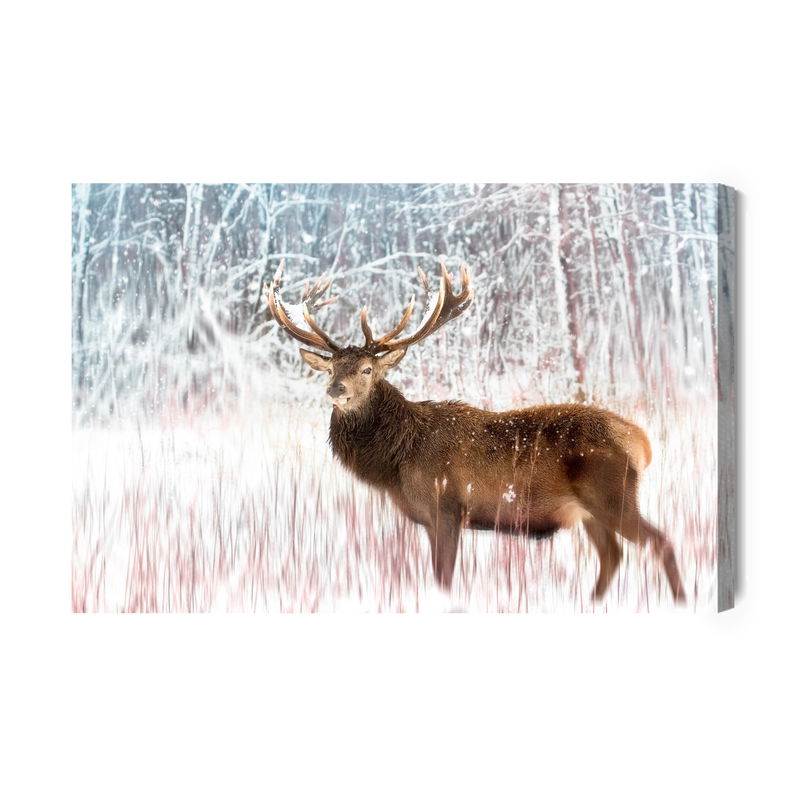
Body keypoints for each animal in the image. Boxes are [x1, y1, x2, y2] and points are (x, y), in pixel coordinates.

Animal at [266, 260, 686, 604]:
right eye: (332, 368)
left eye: (368, 369)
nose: (336, 390)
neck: (396, 463)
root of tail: (641, 442)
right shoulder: (430, 520)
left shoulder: (448, 508)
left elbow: (445, 577)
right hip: (589, 512)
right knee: (614, 556)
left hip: (613, 495)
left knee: (661, 542)